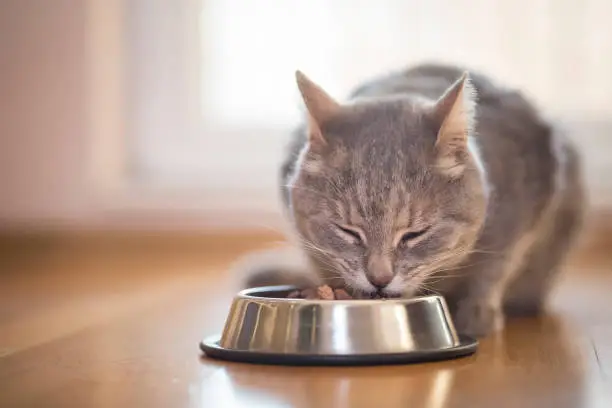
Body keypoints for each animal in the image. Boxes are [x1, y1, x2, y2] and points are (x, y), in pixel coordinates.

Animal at [238, 63, 584, 338]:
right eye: (348, 232)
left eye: (415, 234)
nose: (379, 279)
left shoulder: (526, 206)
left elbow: (495, 266)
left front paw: (477, 312)